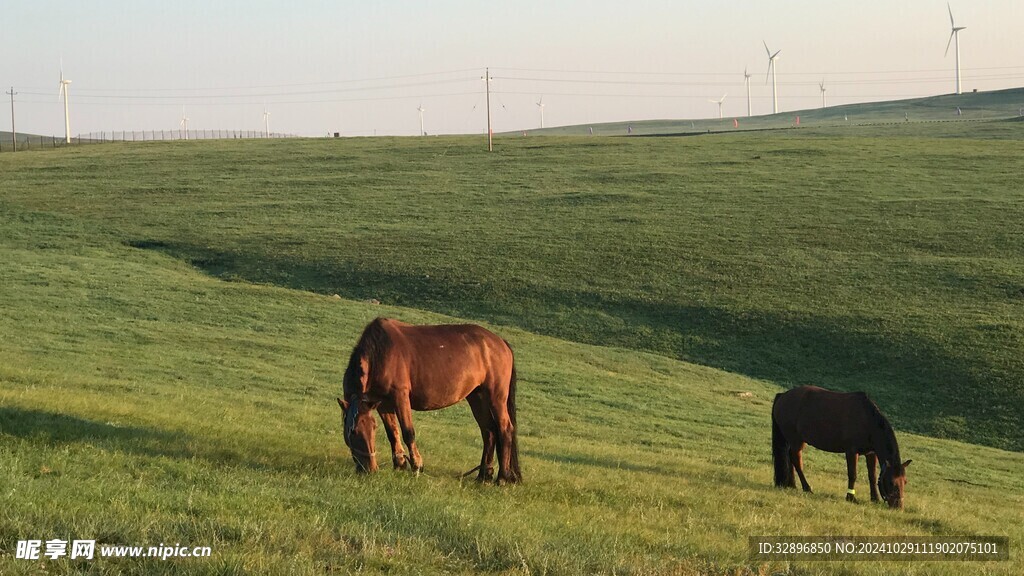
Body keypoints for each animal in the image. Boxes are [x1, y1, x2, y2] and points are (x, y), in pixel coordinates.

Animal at [339, 315, 524, 481]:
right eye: (353, 432)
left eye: (369, 428)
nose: (368, 469)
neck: (381, 352)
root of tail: (501, 342)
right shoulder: (383, 404)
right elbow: (393, 433)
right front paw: (399, 464)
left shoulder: (400, 397)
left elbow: (408, 432)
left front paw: (416, 466)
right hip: (477, 398)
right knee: (489, 431)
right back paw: (484, 475)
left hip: (496, 397)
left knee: (505, 429)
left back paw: (502, 477)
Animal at [770, 385, 913, 506]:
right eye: (891, 482)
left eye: (905, 481)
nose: (898, 506)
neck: (867, 421)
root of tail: (782, 396)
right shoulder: (851, 451)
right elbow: (852, 474)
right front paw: (851, 497)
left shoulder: (871, 453)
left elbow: (872, 476)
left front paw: (875, 499)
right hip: (796, 441)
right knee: (796, 461)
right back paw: (807, 488)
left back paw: (792, 485)